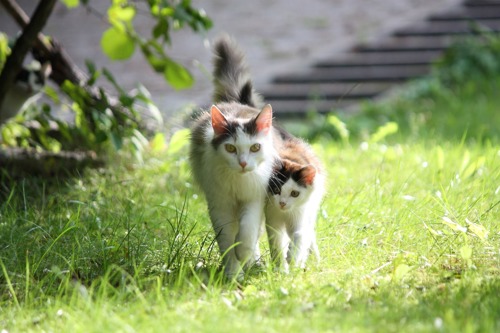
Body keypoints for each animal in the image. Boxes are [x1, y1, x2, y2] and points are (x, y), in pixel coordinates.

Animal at [189, 36, 280, 278]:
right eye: (230, 148)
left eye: (255, 147)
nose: (243, 163)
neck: (237, 182)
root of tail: (236, 102)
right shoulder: (219, 204)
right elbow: (227, 240)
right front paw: (232, 273)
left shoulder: (254, 197)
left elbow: (247, 230)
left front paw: (244, 253)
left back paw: (253, 259)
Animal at [264, 136, 326, 272]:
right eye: (276, 190)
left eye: (294, 193)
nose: (282, 203)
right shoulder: (271, 215)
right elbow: (276, 242)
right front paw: (280, 268)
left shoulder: (301, 212)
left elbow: (300, 234)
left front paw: (292, 257)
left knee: (309, 232)